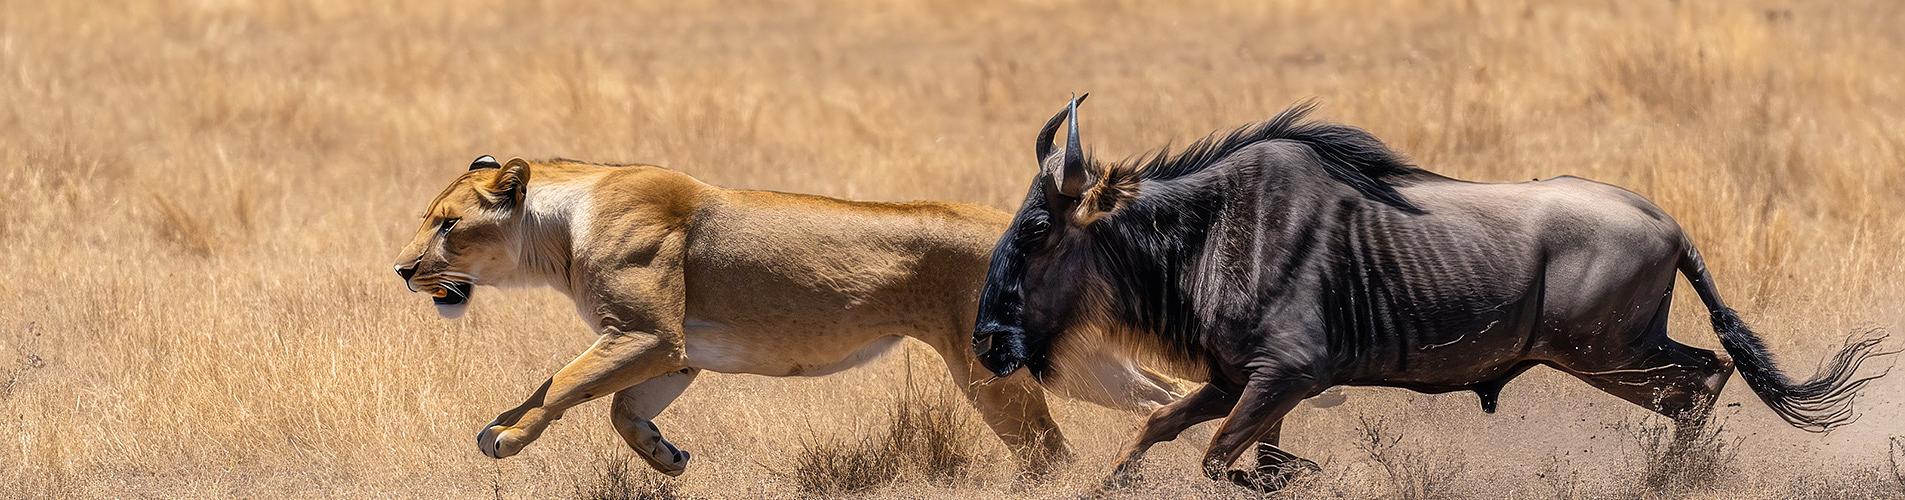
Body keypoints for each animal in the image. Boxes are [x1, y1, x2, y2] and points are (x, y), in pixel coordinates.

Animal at [390, 155, 1194, 474]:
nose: (401, 270)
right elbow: (620, 408)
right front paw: (665, 456)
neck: (559, 228)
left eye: (446, 225)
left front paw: (504, 436)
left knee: (1049, 454)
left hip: (987, 367)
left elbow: (560, 384)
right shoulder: (677, 350)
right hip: (1076, 363)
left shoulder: (648, 333)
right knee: (1167, 395)